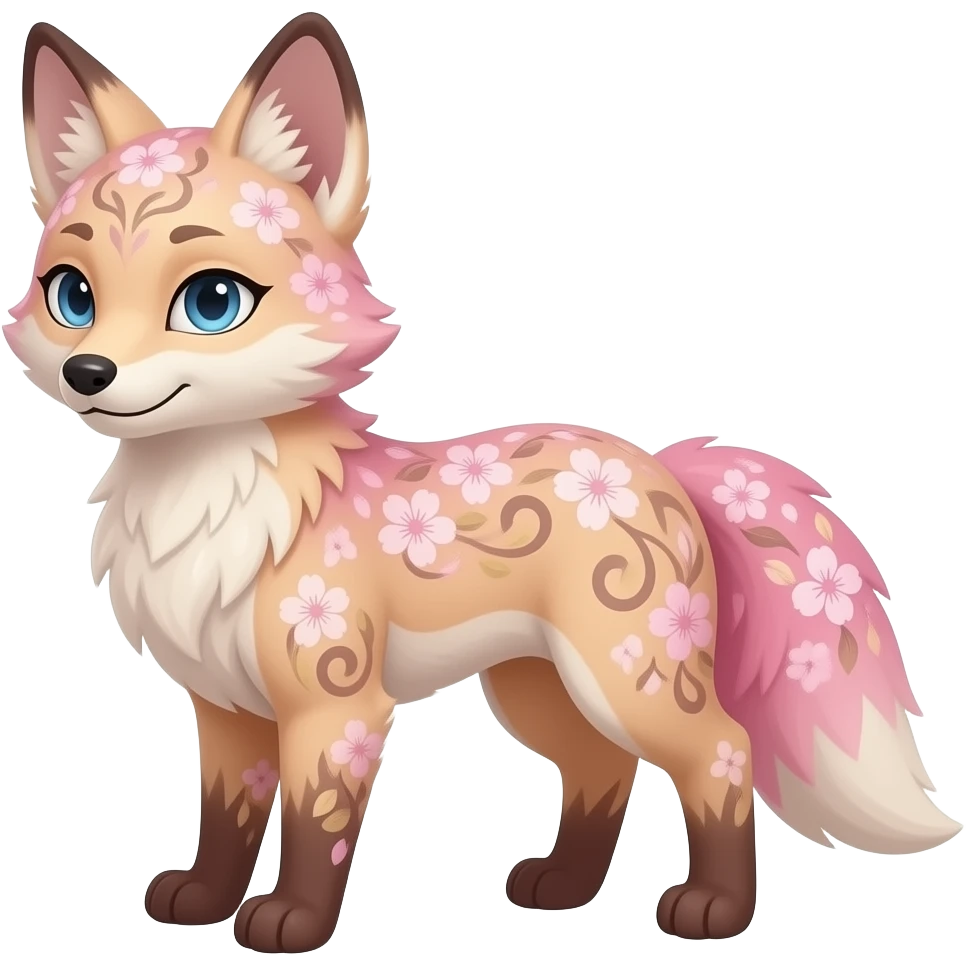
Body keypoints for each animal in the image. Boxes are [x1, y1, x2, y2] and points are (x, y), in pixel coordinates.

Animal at [5, 12, 960, 954]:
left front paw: (293, 922)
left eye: (212, 303)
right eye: (71, 296)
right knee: (603, 770)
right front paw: (205, 897)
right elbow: (226, 819)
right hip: (539, 689)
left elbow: (315, 827)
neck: (208, 508)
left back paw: (715, 908)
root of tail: (660, 463)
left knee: (720, 754)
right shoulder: (226, 708)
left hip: (630, 678)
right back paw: (565, 888)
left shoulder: (335, 700)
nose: (90, 373)